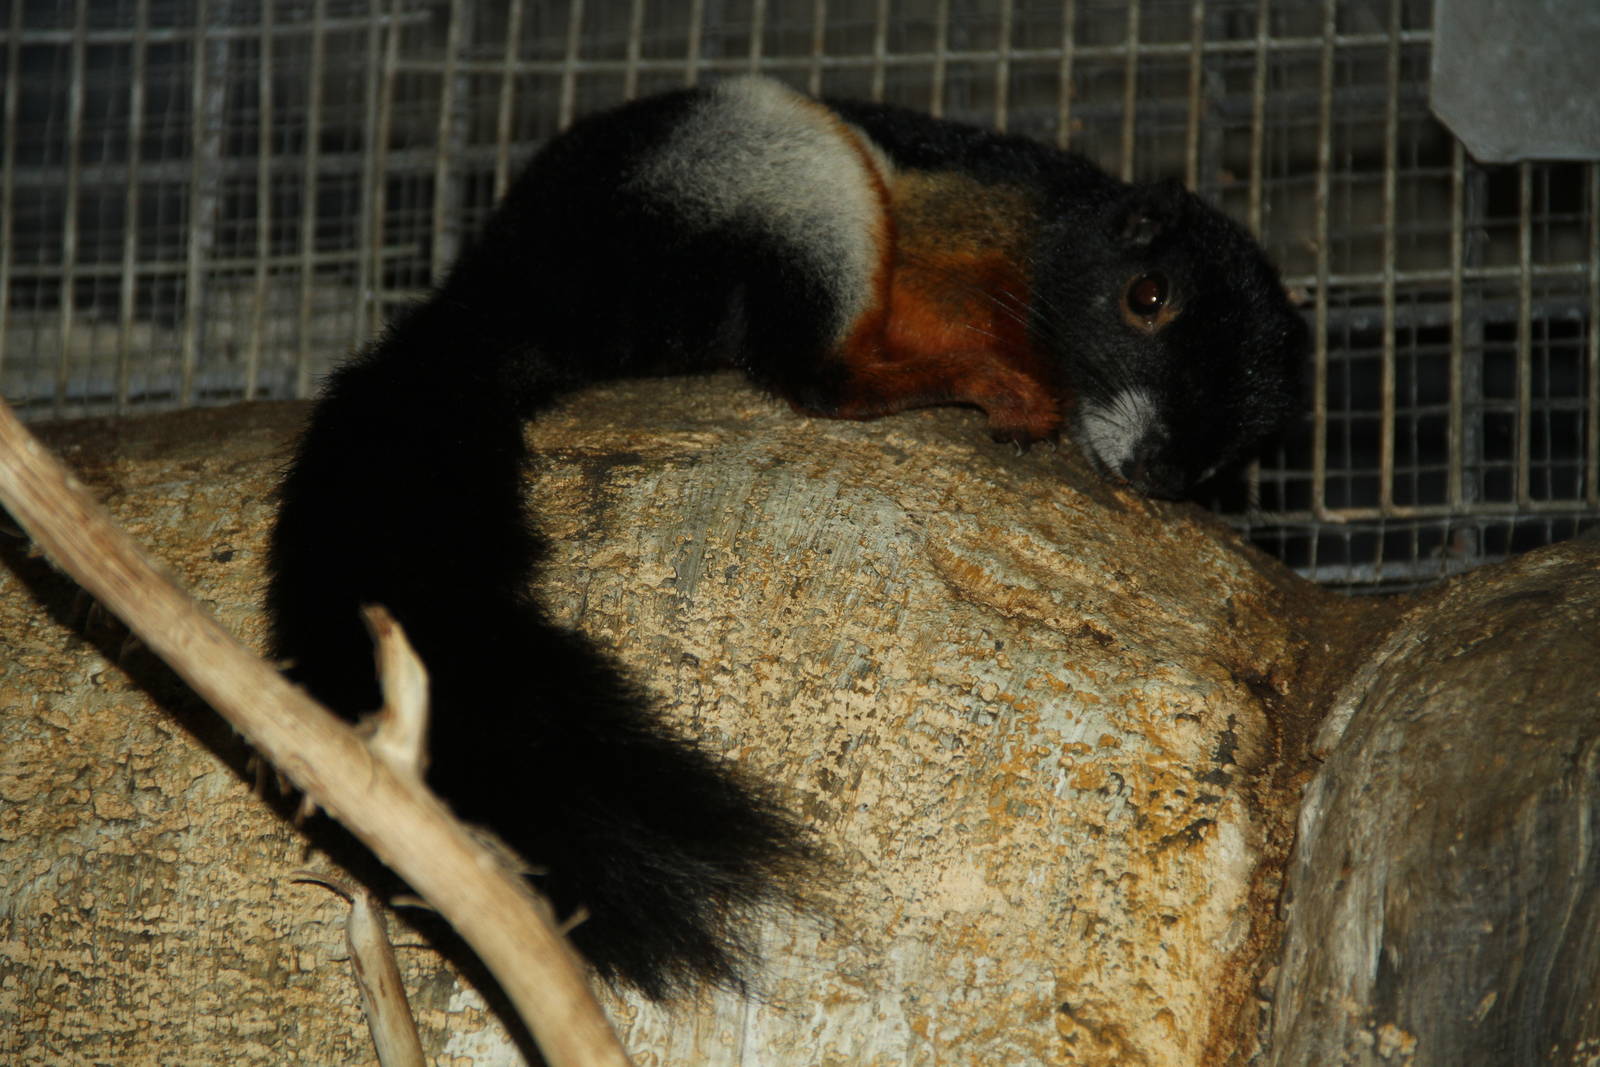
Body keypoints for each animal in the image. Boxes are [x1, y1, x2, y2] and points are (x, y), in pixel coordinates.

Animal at [266, 76, 1308, 999]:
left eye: (1243, 438)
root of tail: (500, 299)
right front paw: (1017, 390)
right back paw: (956, 383)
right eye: (1147, 297)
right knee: (816, 370)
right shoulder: (964, 207)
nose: (1160, 467)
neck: (1036, 251)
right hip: (739, 173)